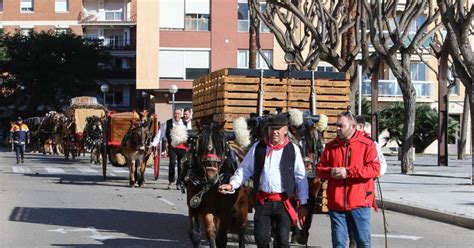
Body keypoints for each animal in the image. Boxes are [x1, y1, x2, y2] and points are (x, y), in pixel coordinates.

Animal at [181, 120, 243, 248]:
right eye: (199, 144)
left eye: (222, 145)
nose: (211, 176)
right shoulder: (196, 206)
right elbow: (197, 234)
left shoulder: (224, 210)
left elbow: (221, 238)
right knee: (210, 230)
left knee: (241, 226)